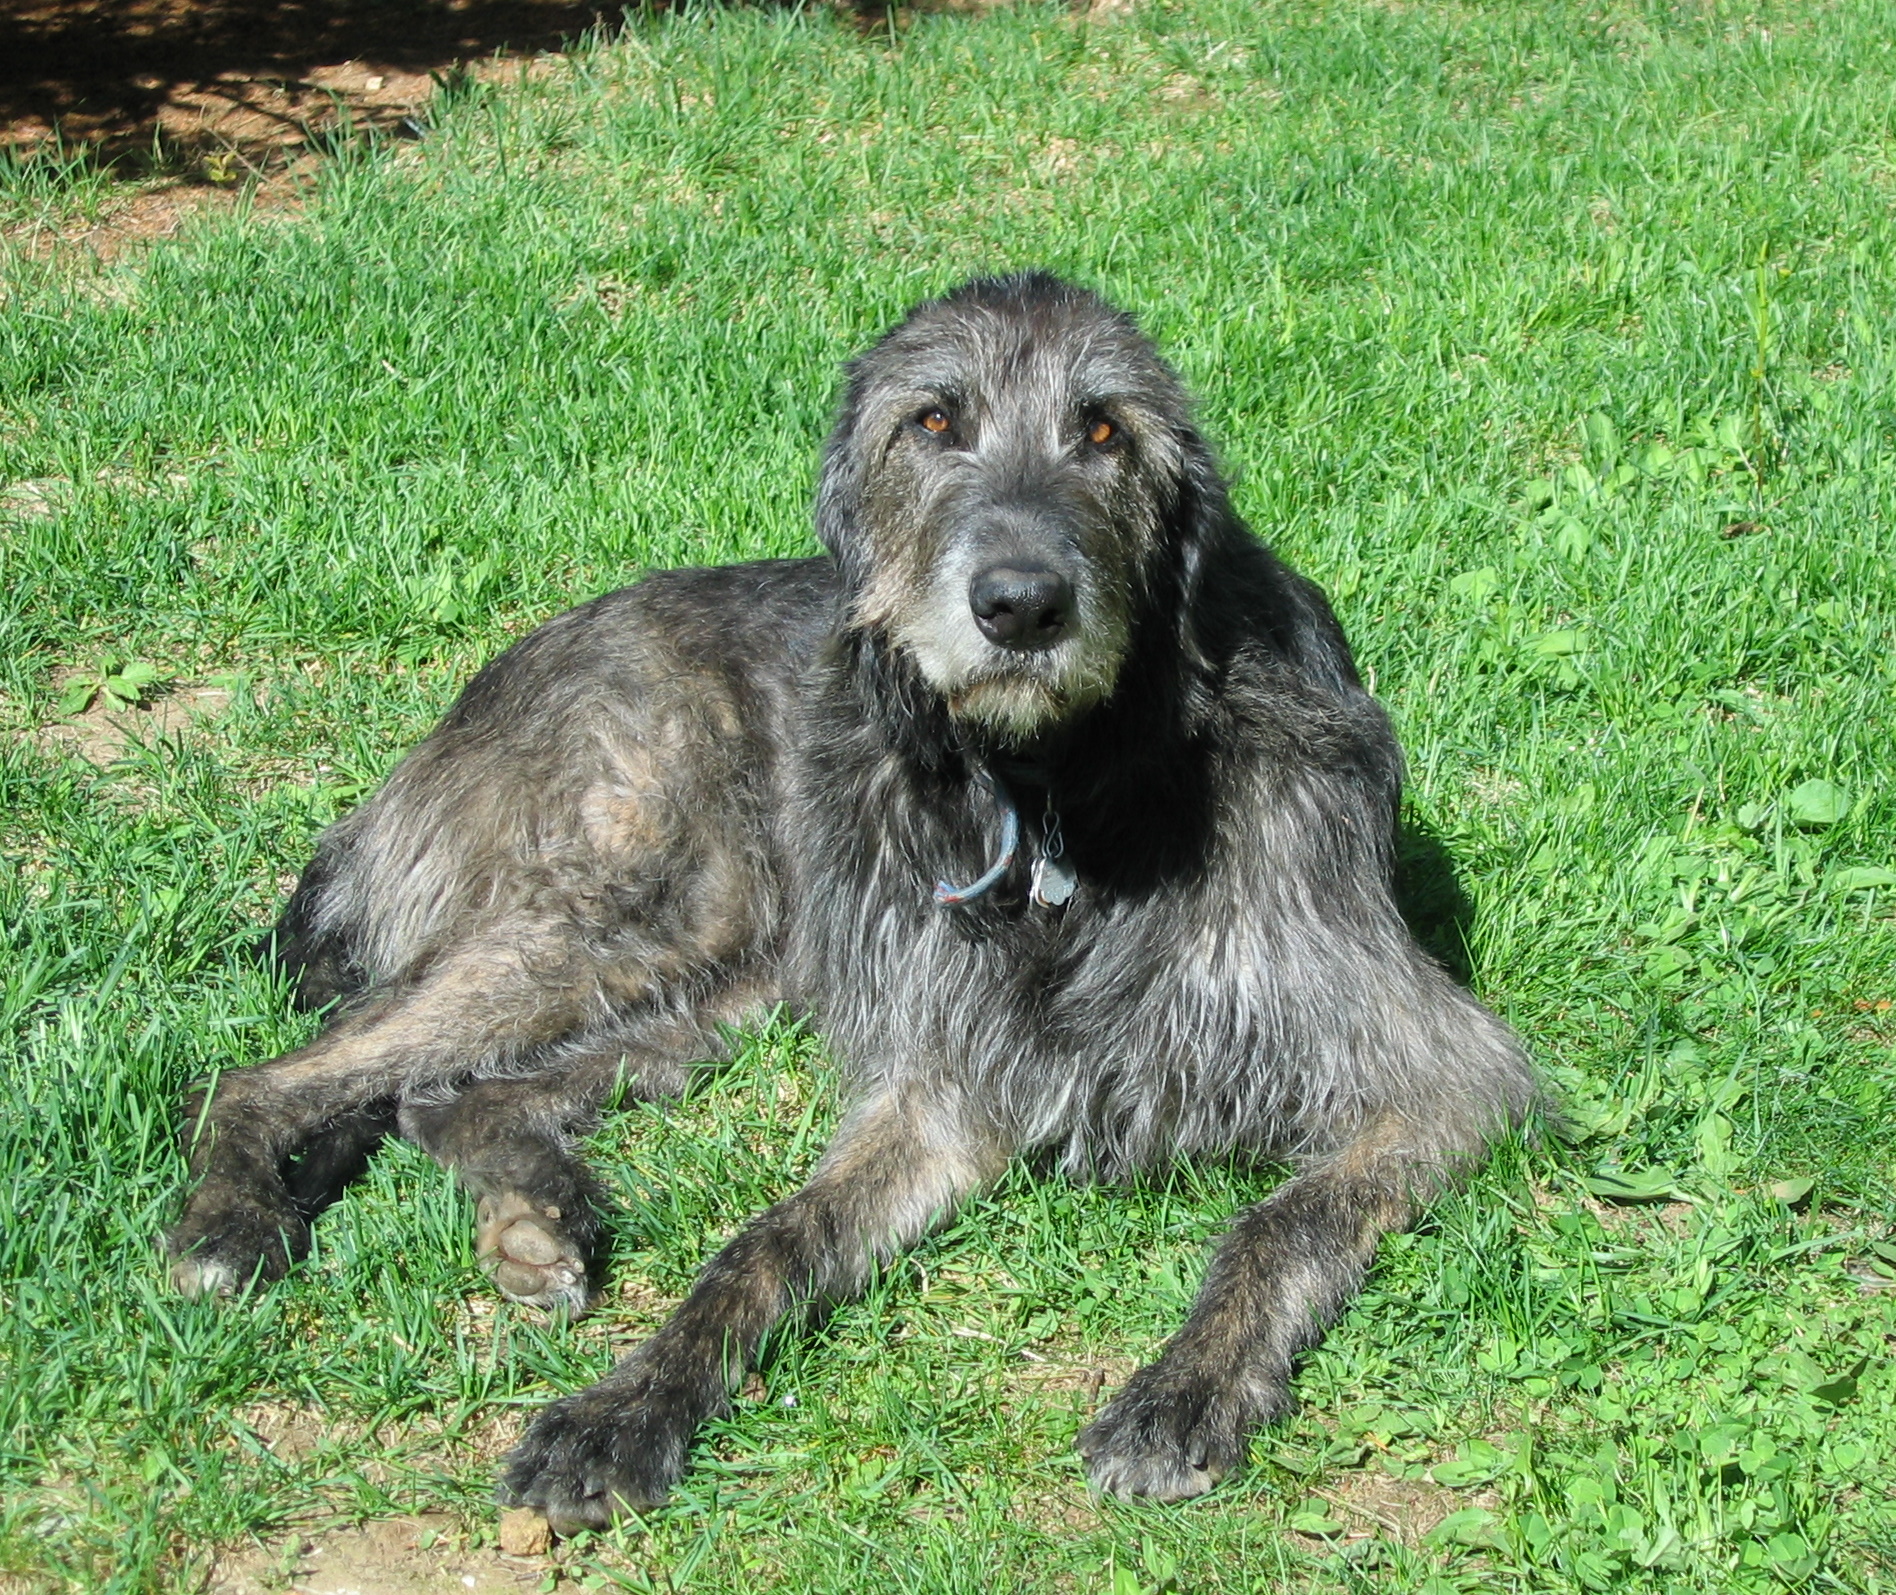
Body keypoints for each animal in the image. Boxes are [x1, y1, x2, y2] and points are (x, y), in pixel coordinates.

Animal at [166, 267, 1539, 1524]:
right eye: (932, 420)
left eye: (1106, 429)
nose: (1021, 604)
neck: (1065, 791)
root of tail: (451, 725)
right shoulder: (946, 1084)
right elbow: (768, 1237)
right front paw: (629, 1405)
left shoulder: (1432, 1072)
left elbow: (1280, 1222)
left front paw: (1181, 1390)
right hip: (631, 903)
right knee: (288, 1068)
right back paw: (232, 1221)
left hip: (723, 975)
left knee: (444, 1092)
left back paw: (531, 1212)